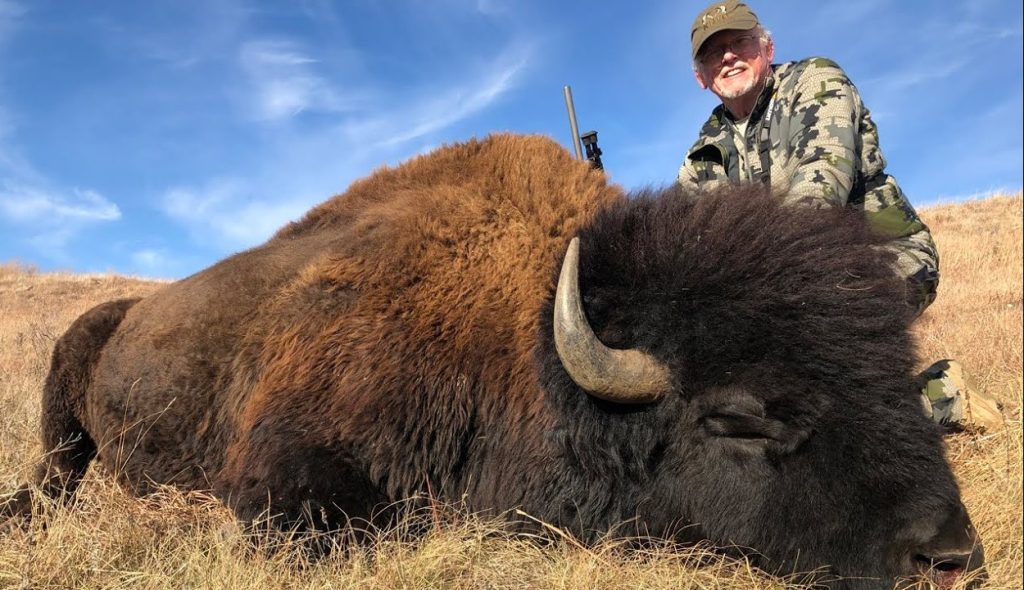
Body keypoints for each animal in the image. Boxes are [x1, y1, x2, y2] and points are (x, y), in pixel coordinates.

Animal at [9, 135, 983, 590]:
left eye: (901, 381)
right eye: (738, 419)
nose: (948, 558)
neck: (525, 345)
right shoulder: (284, 472)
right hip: (64, 414)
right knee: (52, 477)